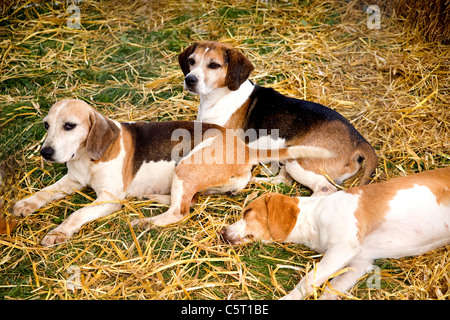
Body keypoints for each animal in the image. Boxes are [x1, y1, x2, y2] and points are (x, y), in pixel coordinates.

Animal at [14, 99, 332, 246]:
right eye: (46, 125)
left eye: (70, 126)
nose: (45, 152)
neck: (85, 158)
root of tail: (244, 149)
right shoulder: (72, 179)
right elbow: (44, 193)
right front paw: (26, 204)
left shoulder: (109, 197)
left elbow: (77, 213)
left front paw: (59, 232)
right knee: (187, 201)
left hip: (185, 165)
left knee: (181, 211)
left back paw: (146, 222)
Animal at [178, 41, 378, 196]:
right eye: (192, 61)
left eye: (214, 65)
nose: (190, 79)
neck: (218, 97)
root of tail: (358, 139)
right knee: (282, 181)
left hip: (299, 160)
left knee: (324, 188)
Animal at [221, 168, 450, 300]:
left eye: (248, 211)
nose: (222, 232)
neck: (314, 219)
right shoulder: (360, 263)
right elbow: (331, 288)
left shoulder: (341, 249)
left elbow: (307, 281)